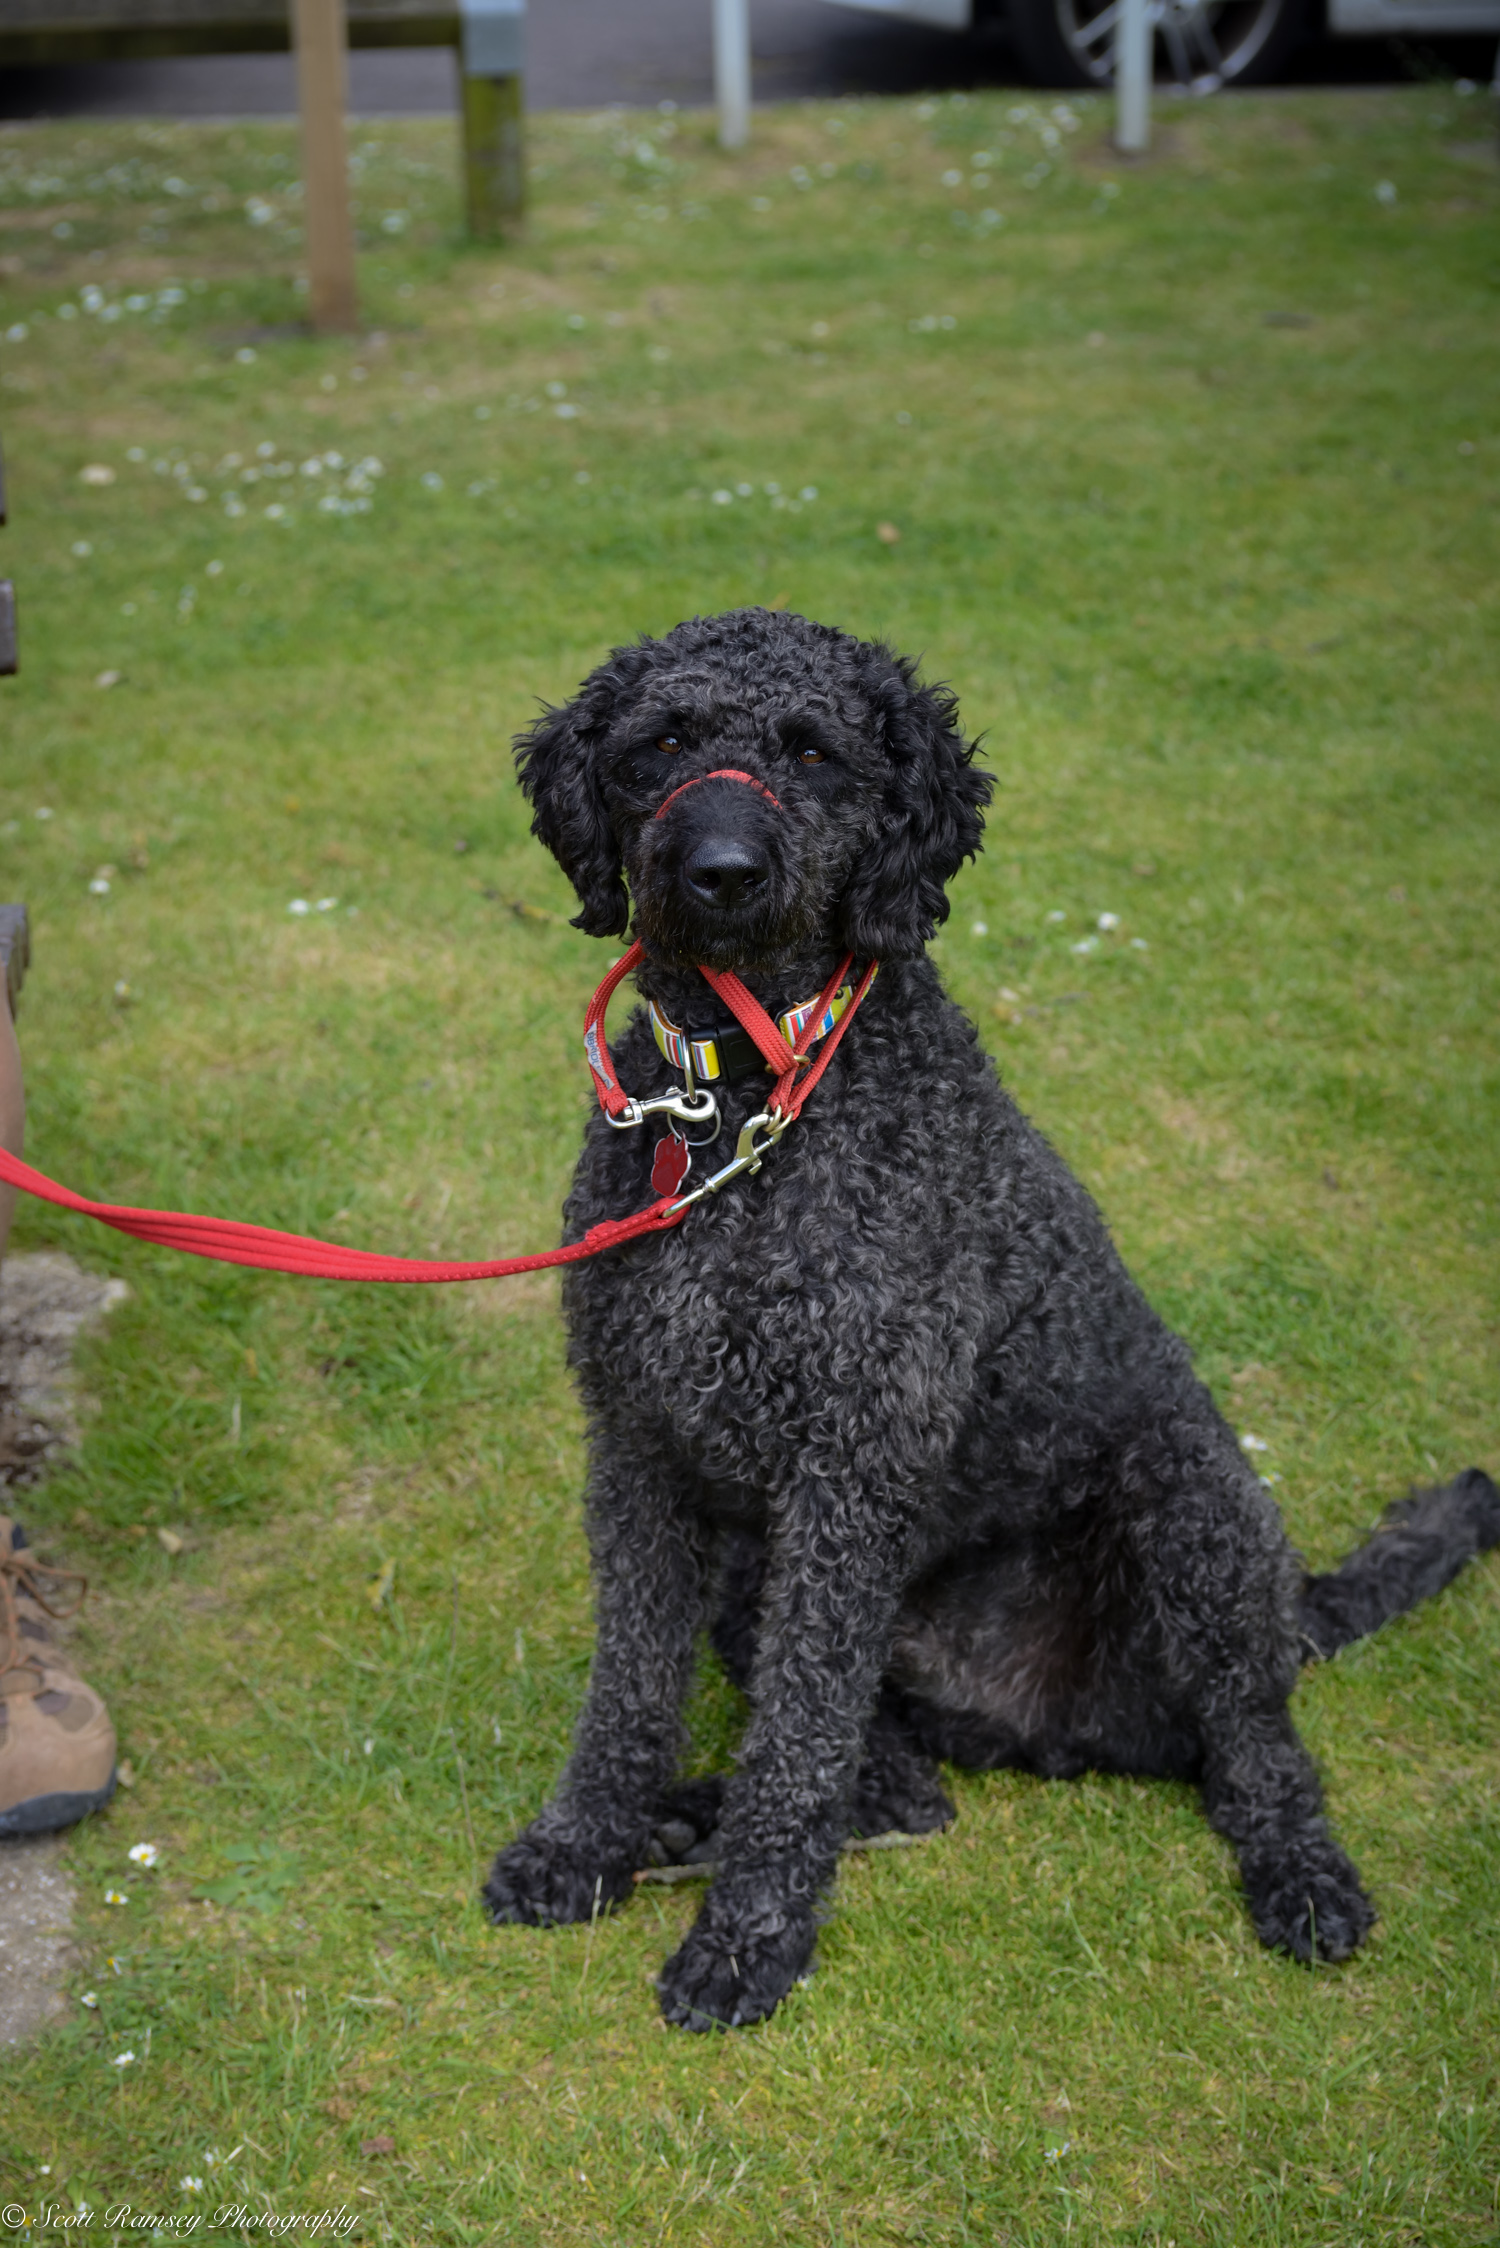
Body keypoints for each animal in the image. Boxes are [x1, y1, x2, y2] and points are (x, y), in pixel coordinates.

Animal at [488, 611, 1493, 2041]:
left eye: (815, 751)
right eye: (664, 741)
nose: (722, 870)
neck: (743, 1110)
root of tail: (1028, 1717)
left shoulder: (848, 1476)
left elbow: (794, 1743)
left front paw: (746, 1939)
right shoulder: (640, 1448)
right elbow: (629, 1684)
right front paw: (584, 1843)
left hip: (1191, 1508)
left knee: (1258, 1755)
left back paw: (1304, 1877)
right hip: (769, 1577)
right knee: (901, 1786)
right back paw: (688, 1821)